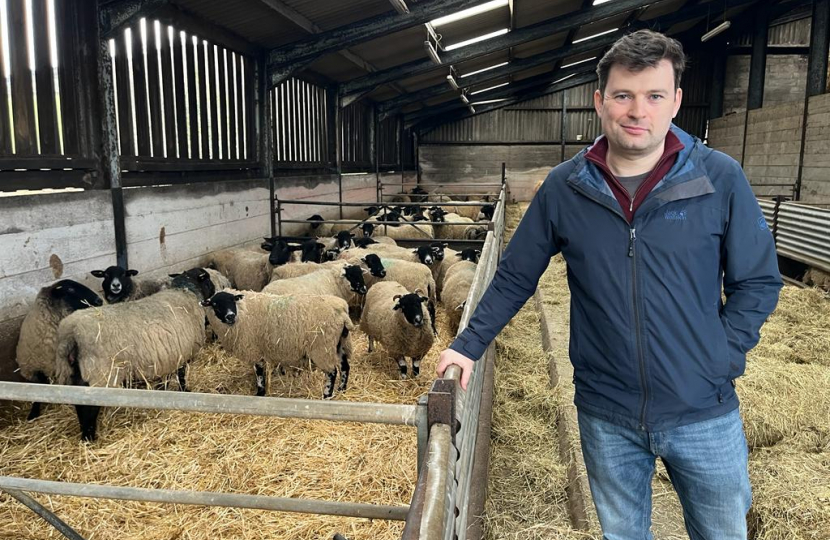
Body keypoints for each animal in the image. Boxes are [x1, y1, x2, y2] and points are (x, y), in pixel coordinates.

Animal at [51, 268, 214, 440]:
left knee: (79, 403)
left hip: (74, 373)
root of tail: (71, 334)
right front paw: (184, 392)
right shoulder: (182, 354)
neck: (186, 291)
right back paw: (89, 438)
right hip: (100, 375)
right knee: (89, 408)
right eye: (207, 279)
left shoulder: (167, 357)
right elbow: (181, 377)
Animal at [206, 288, 358, 398]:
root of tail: (342, 311)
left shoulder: (254, 349)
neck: (243, 311)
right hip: (339, 343)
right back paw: (341, 389)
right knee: (345, 367)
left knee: (332, 372)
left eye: (232, 300)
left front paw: (260, 392)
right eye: (215, 304)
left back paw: (327, 395)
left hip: (322, 347)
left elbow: (259, 371)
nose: (230, 316)